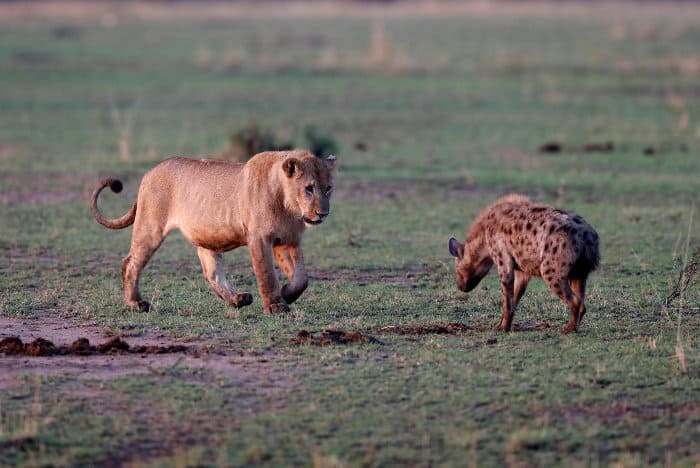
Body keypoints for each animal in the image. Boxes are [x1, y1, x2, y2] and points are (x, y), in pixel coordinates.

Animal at [91, 149, 340, 314]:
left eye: (328, 188)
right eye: (309, 189)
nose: (323, 213)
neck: (290, 208)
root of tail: (149, 172)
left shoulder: (289, 240)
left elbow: (301, 277)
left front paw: (287, 293)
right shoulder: (259, 238)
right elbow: (267, 274)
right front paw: (276, 305)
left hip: (206, 237)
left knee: (211, 272)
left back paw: (238, 299)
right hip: (150, 228)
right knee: (130, 263)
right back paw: (137, 303)